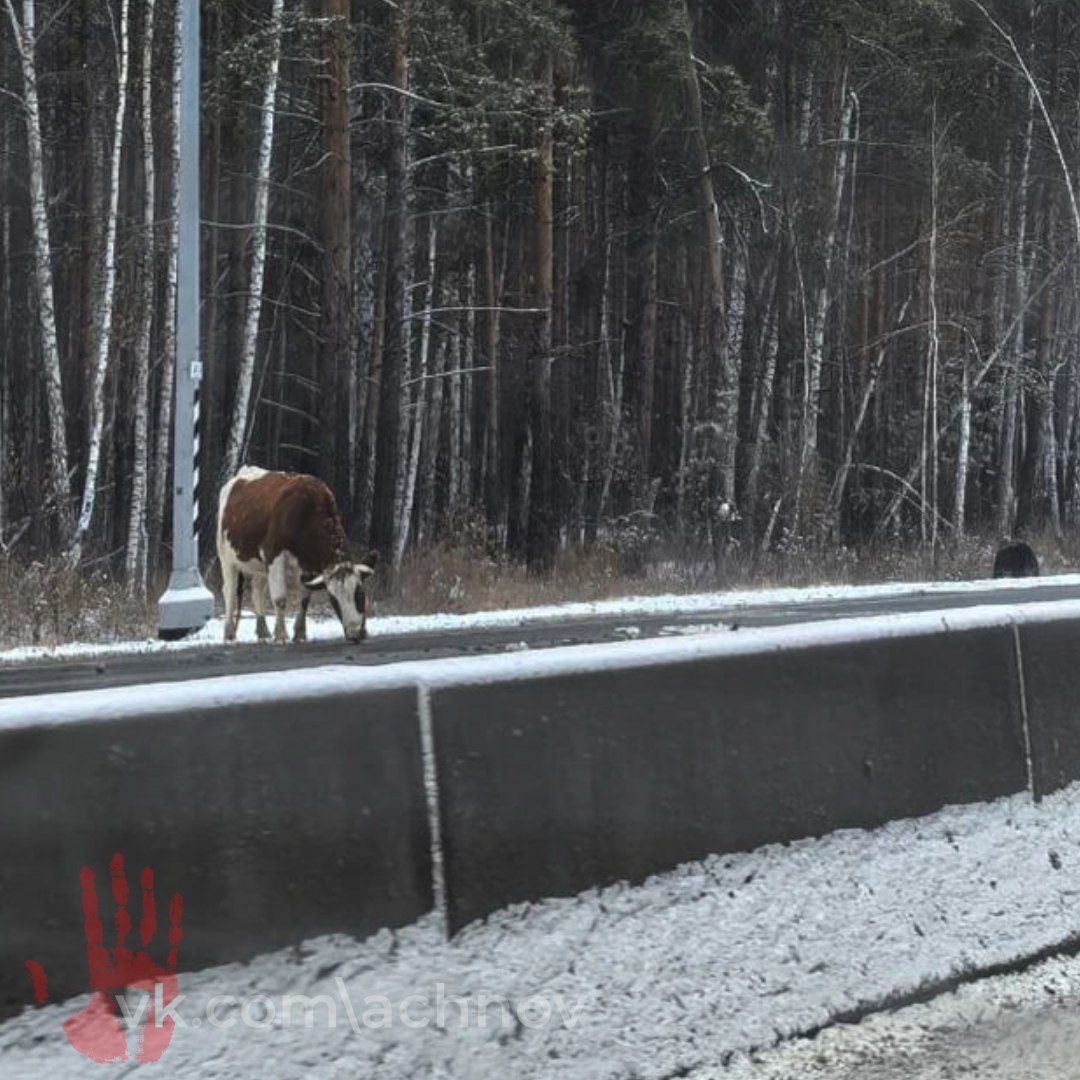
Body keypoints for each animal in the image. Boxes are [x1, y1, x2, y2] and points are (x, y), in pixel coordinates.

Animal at [214, 464, 380, 639]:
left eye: (359, 593)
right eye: (333, 599)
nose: (355, 633)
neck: (307, 513)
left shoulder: (307, 566)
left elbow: (305, 599)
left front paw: (300, 632)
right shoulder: (273, 554)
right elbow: (280, 599)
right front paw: (281, 635)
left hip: (260, 565)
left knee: (257, 590)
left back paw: (263, 630)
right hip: (226, 557)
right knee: (230, 591)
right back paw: (229, 632)